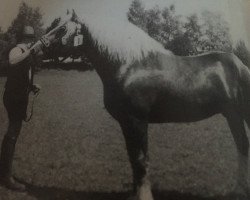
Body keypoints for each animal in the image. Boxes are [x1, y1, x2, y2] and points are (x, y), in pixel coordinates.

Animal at [60, 10, 250, 200]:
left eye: (61, 28)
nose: (47, 48)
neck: (129, 67)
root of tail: (241, 66)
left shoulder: (138, 121)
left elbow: (141, 159)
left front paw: (144, 195)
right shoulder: (126, 124)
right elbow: (132, 157)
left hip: (235, 115)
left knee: (242, 145)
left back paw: (240, 189)